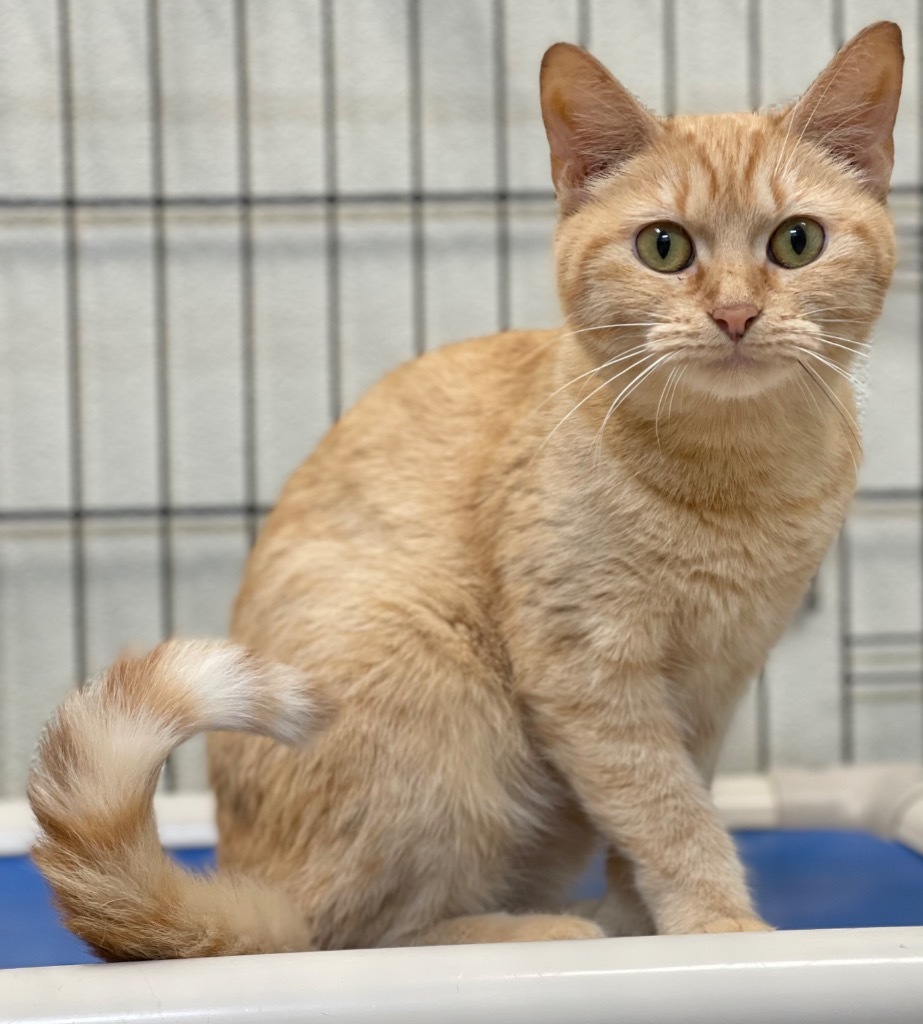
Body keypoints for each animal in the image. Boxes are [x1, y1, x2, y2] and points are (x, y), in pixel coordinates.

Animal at [27, 22, 901, 958]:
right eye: (663, 247)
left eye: (795, 242)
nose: (735, 315)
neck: (732, 476)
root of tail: (254, 880)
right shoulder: (588, 673)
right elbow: (668, 814)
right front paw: (717, 928)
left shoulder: (714, 685)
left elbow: (663, 816)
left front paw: (645, 923)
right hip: (438, 696)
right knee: (361, 935)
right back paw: (543, 931)